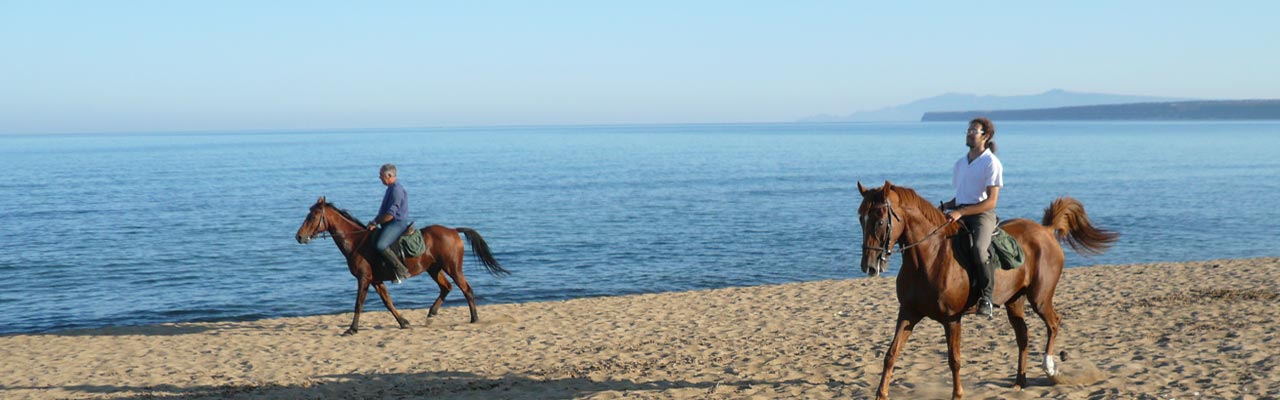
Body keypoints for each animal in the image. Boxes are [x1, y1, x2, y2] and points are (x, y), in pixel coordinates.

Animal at [295, 196, 509, 336]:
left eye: (312, 216)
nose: (299, 237)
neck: (356, 242)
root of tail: (453, 231)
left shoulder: (364, 279)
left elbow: (359, 303)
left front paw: (352, 329)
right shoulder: (376, 281)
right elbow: (387, 302)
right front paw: (404, 322)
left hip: (453, 268)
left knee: (466, 289)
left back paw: (474, 318)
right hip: (434, 269)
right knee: (446, 287)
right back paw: (432, 313)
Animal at [856, 181, 1116, 400]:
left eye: (880, 221)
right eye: (861, 219)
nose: (868, 266)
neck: (930, 257)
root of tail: (1045, 230)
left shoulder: (952, 319)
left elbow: (954, 360)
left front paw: (957, 395)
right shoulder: (908, 313)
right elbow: (891, 354)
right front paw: (881, 394)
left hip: (1040, 299)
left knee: (1053, 323)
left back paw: (1049, 367)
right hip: (1015, 302)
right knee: (1023, 336)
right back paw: (1020, 382)